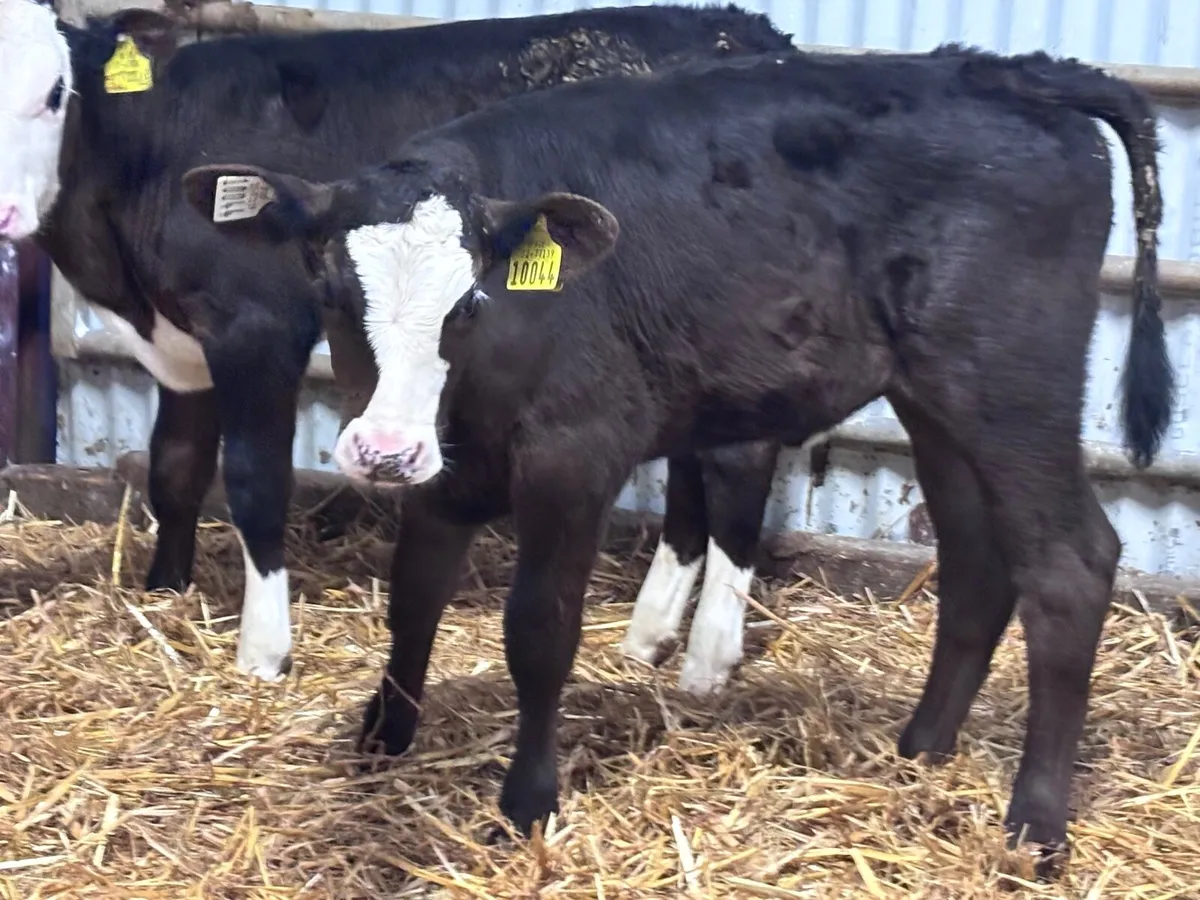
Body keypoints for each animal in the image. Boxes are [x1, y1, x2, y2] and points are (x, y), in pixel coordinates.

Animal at [0, 0, 794, 682]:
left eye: (55, 92)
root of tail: (753, 35)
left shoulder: (255, 324)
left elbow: (254, 480)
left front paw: (263, 650)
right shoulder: (182, 345)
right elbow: (175, 467)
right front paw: (165, 590)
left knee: (740, 460)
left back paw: (710, 655)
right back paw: (649, 634)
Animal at [184, 42, 1174, 862]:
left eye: (467, 300)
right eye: (328, 284)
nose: (383, 450)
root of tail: (1015, 74)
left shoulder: (573, 457)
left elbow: (540, 630)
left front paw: (527, 801)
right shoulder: (448, 464)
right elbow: (413, 599)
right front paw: (383, 738)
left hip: (1012, 383)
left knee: (1071, 563)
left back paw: (1035, 825)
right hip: (937, 398)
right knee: (975, 563)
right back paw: (921, 750)